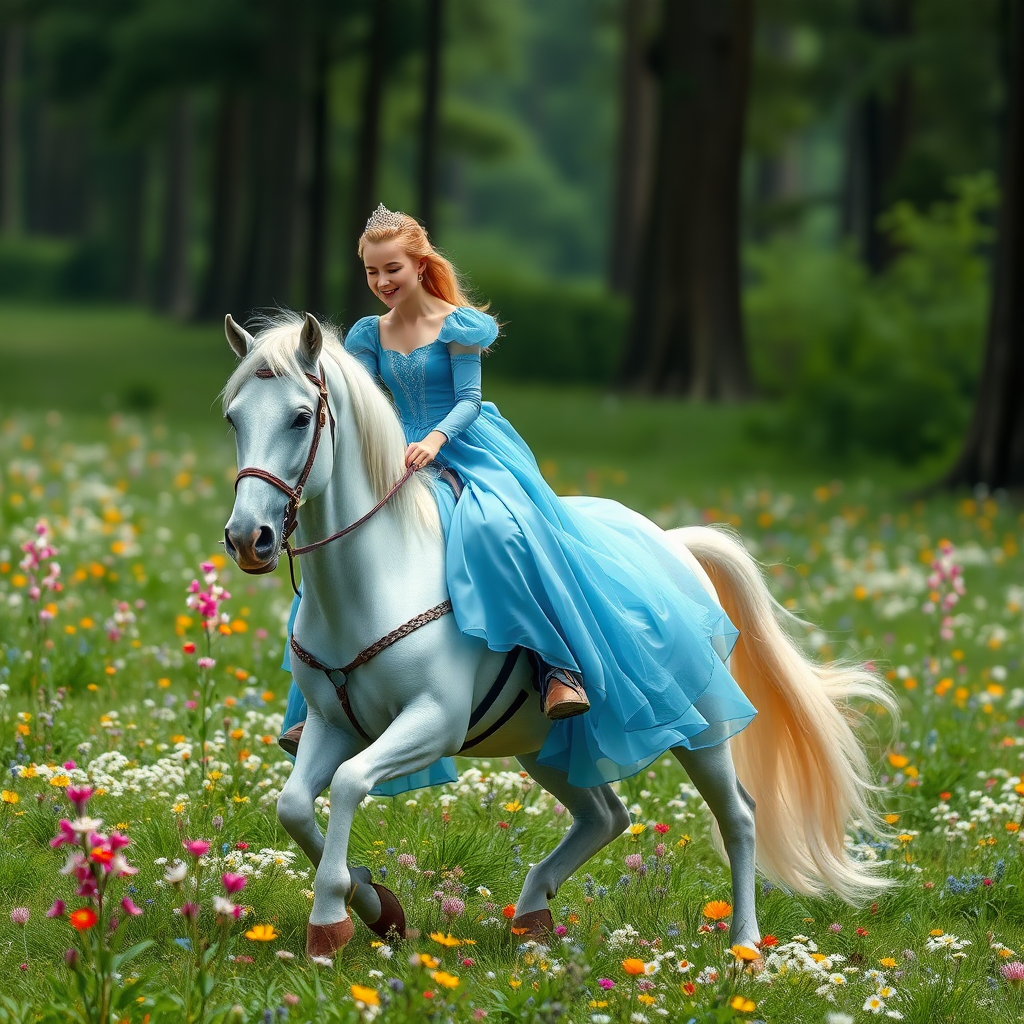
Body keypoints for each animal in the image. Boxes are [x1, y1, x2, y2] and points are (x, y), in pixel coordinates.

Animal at [222, 311, 897, 958]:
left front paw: (332, 918)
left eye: (301, 417)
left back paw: (745, 944)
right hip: (542, 740)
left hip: (702, 723)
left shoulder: (433, 722)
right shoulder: (331, 724)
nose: (248, 539)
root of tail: (673, 543)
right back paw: (532, 915)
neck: (382, 574)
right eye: (233, 418)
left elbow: (348, 783)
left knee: (739, 818)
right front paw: (375, 905)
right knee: (607, 816)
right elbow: (294, 806)